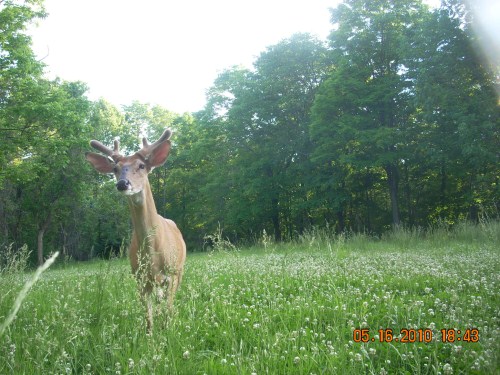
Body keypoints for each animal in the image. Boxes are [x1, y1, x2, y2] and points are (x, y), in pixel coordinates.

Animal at [85, 130, 187, 332]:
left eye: (141, 166)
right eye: (115, 169)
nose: (122, 184)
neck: (153, 251)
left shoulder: (171, 273)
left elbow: (168, 309)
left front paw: (168, 329)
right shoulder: (140, 278)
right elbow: (148, 317)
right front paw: (150, 335)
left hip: (179, 269)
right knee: (159, 299)